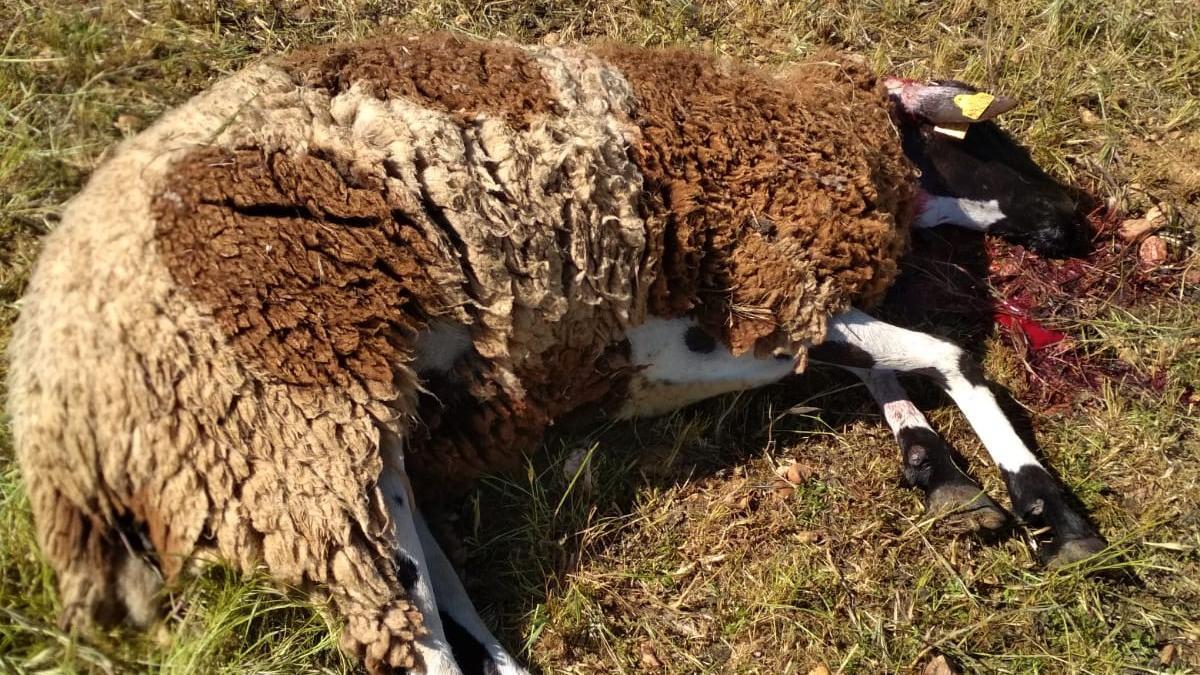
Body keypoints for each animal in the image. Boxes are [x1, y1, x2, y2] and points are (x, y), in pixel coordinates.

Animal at [7, 31, 1099, 672]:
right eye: (984, 140)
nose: (1075, 224)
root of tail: (57, 430)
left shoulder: (680, 335)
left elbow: (876, 357)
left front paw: (939, 470)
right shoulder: (747, 282)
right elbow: (941, 352)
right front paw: (1049, 512)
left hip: (351, 444)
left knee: (434, 589)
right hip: (290, 429)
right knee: (413, 637)